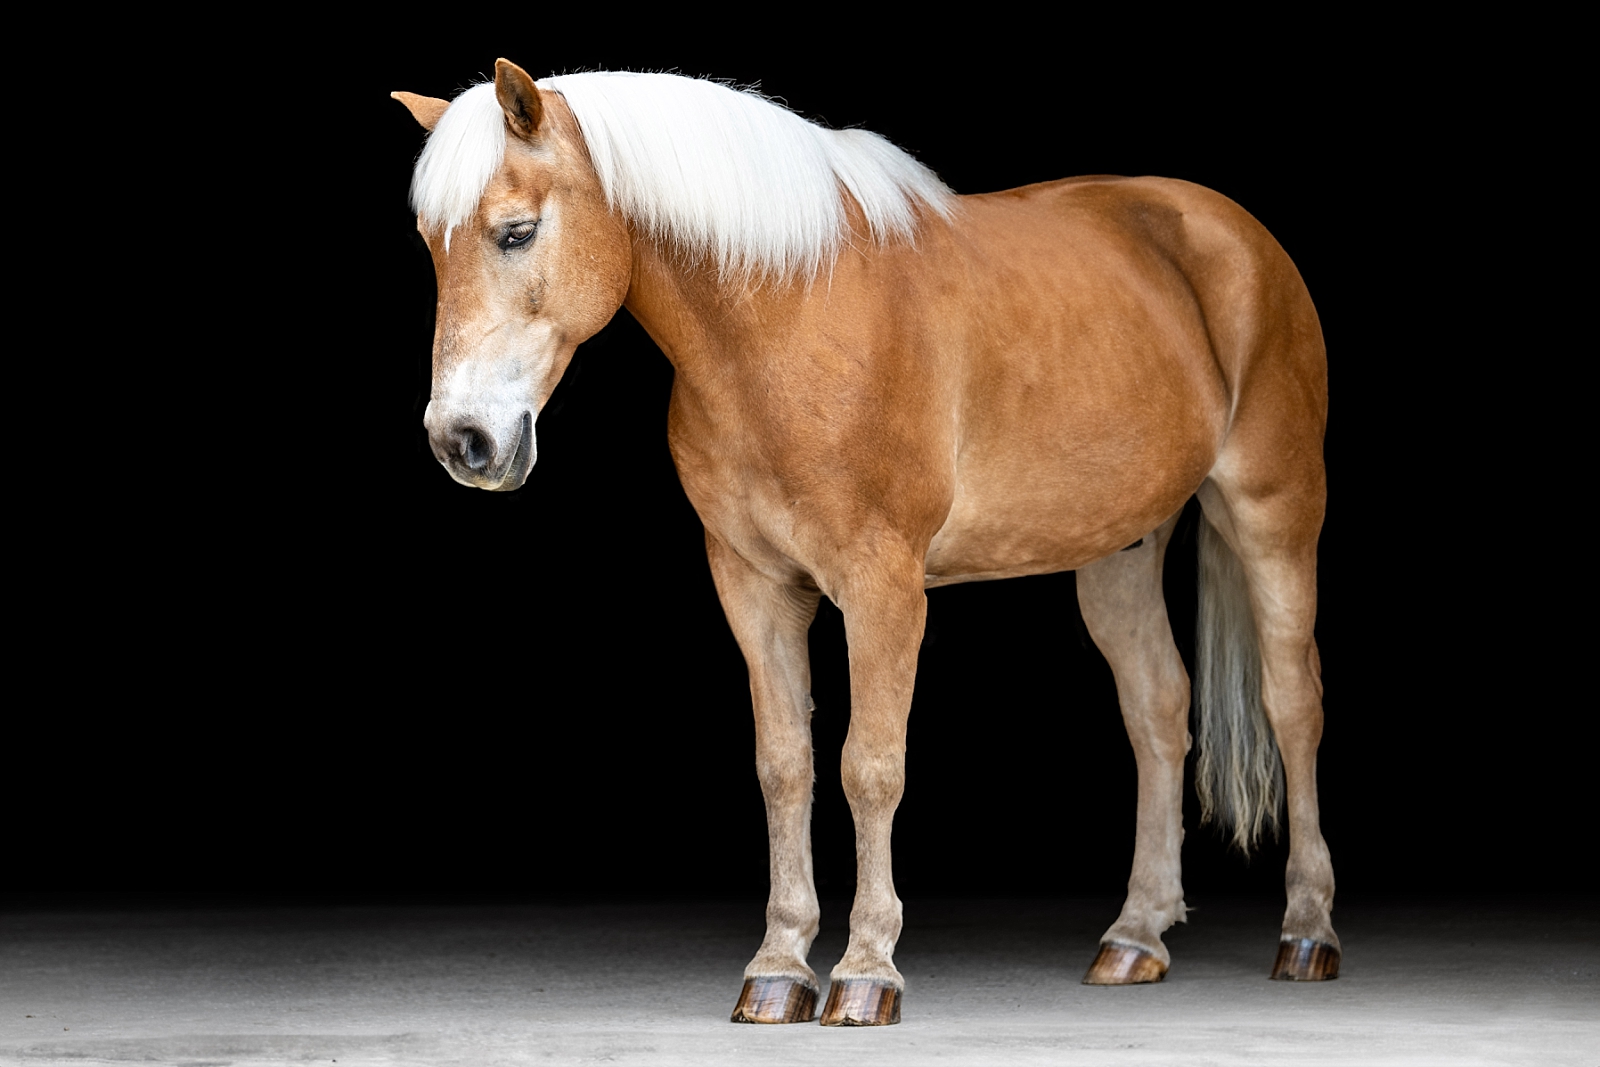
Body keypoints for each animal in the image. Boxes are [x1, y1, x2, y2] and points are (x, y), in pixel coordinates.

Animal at [393, 58, 1344, 1023]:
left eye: (515, 233)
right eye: (432, 244)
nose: (462, 442)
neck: (790, 322)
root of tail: (1229, 231)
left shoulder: (884, 586)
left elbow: (869, 766)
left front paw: (865, 970)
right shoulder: (752, 583)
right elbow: (785, 765)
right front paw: (778, 966)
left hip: (1274, 512)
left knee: (1293, 704)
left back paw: (1307, 933)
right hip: (1120, 548)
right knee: (1157, 710)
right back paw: (1135, 935)